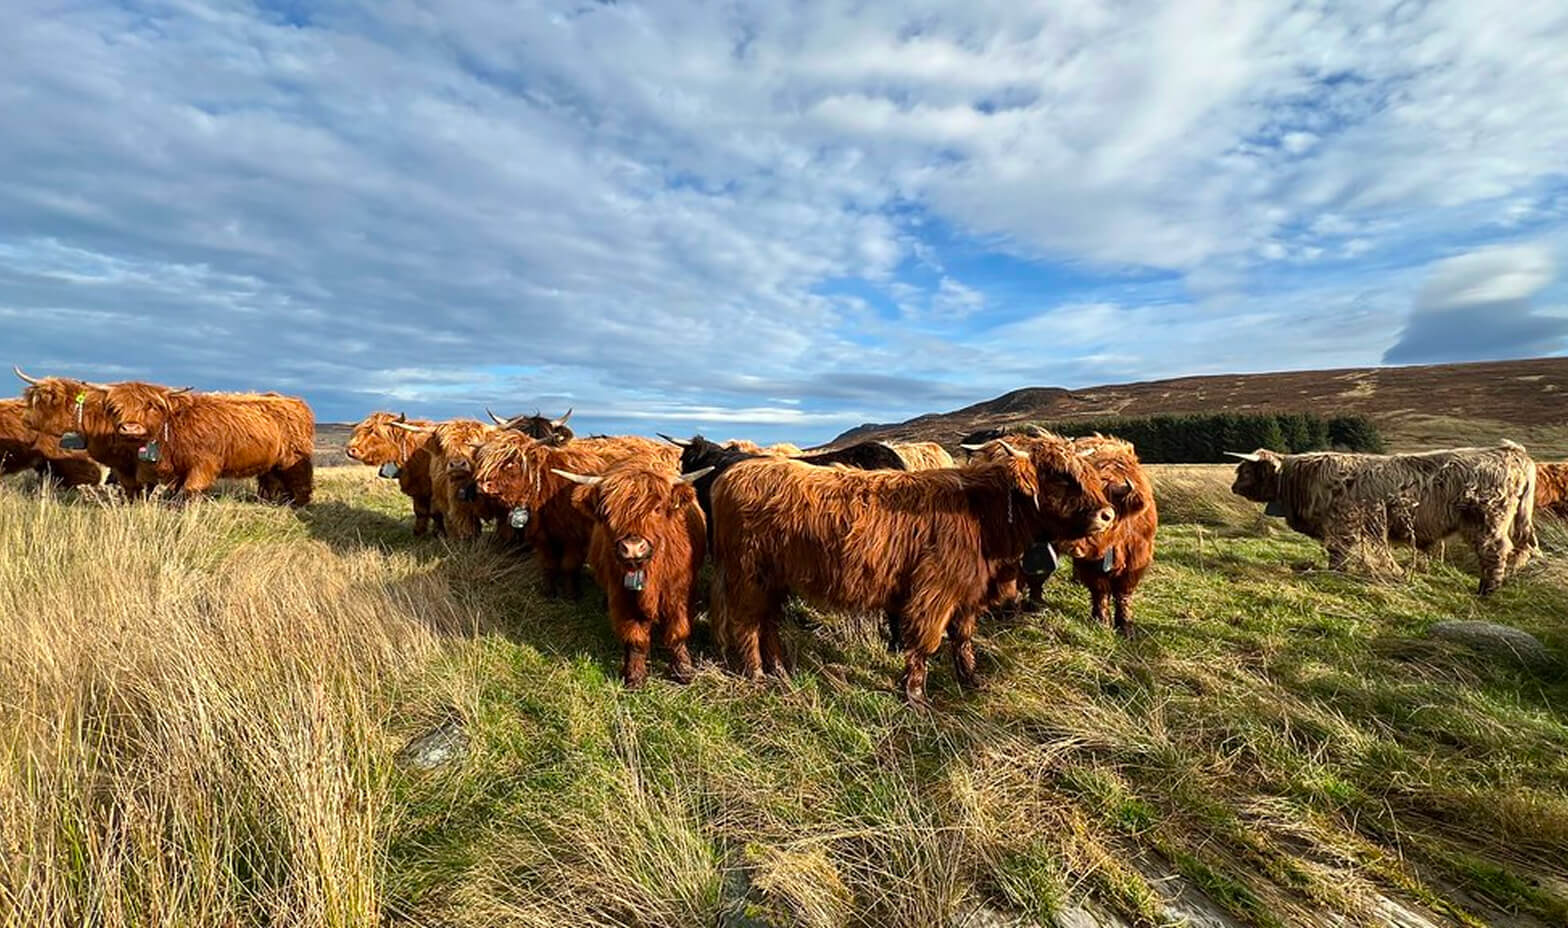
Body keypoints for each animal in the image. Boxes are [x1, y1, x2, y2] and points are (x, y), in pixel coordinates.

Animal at [100, 382, 315, 506]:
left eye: (150, 406)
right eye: (116, 408)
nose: (130, 427)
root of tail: (296, 402)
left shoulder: (204, 463)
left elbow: (191, 489)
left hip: (294, 457)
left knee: (300, 478)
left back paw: (299, 504)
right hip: (270, 463)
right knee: (271, 480)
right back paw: (270, 502)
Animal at [473, 432, 679, 597]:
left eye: (512, 462)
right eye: (483, 462)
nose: (482, 484)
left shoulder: (576, 537)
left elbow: (568, 565)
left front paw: (571, 593)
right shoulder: (543, 536)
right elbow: (549, 564)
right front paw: (549, 591)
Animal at [552, 461, 712, 686]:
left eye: (657, 508)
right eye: (607, 512)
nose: (633, 548)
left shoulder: (680, 591)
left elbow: (678, 631)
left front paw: (683, 669)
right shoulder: (623, 596)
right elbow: (635, 637)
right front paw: (634, 675)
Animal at [708, 436, 1116, 705]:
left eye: (1089, 473)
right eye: (1061, 476)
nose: (1108, 514)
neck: (983, 515)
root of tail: (733, 473)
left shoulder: (966, 593)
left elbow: (963, 639)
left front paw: (971, 679)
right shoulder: (933, 592)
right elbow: (924, 642)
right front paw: (915, 695)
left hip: (774, 580)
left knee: (769, 622)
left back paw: (780, 668)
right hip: (749, 576)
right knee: (748, 623)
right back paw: (758, 674)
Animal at [1228, 443, 1536, 595]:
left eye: (1245, 470)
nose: (1232, 488)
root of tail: (1513, 452)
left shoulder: (1343, 523)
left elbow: (1339, 552)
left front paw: (1336, 573)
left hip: (1487, 519)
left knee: (1495, 550)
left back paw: (1487, 589)